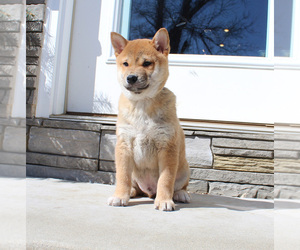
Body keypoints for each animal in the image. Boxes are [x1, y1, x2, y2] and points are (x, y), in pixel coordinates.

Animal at [108, 27, 190, 211]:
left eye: (146, 63)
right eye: (125, 64)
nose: (131, 78)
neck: (142, 105)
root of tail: (149, 192)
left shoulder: (167, 146)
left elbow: (165, 180)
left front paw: (164, 200)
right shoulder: (124, 145)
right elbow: (122, 177)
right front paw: (119, 196)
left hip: (184, 169)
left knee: (180, 186)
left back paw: (180, 195)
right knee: (133, 185)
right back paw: (131, 192)